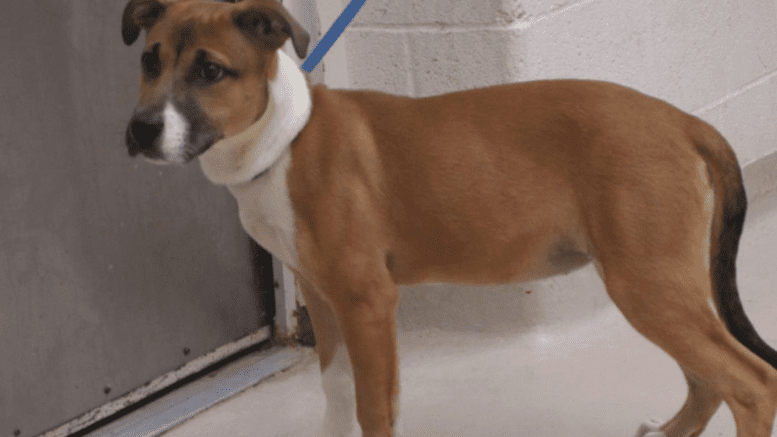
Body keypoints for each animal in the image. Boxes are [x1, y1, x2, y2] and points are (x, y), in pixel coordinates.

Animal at [119, 1, 776, 434]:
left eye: (210, 70)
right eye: (149, 60)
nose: (140, 131)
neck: (282, 143)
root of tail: (683, 121)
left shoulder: (366, 300)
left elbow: (373, 407)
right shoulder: (323, 298)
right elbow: (336, 394)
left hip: (648, 282)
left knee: (749, 384)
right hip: (658, 285)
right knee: (708, 380)